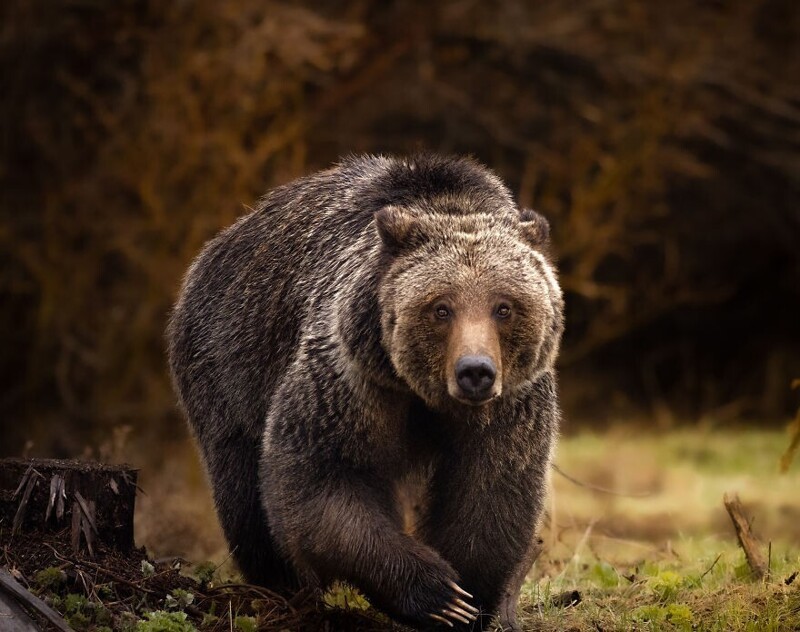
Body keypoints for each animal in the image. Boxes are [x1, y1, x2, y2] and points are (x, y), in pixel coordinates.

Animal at [165, 154, 564, 632]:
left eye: (504, 307)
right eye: (440, 307)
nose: (475, 372)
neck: (423, 394)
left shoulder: (511, 405)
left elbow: (492, 491)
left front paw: (470, 601)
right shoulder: (352, 381)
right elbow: (325, 479)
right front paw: (438, 595)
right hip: (228, 362)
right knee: (242, 490)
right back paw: (278, 588)